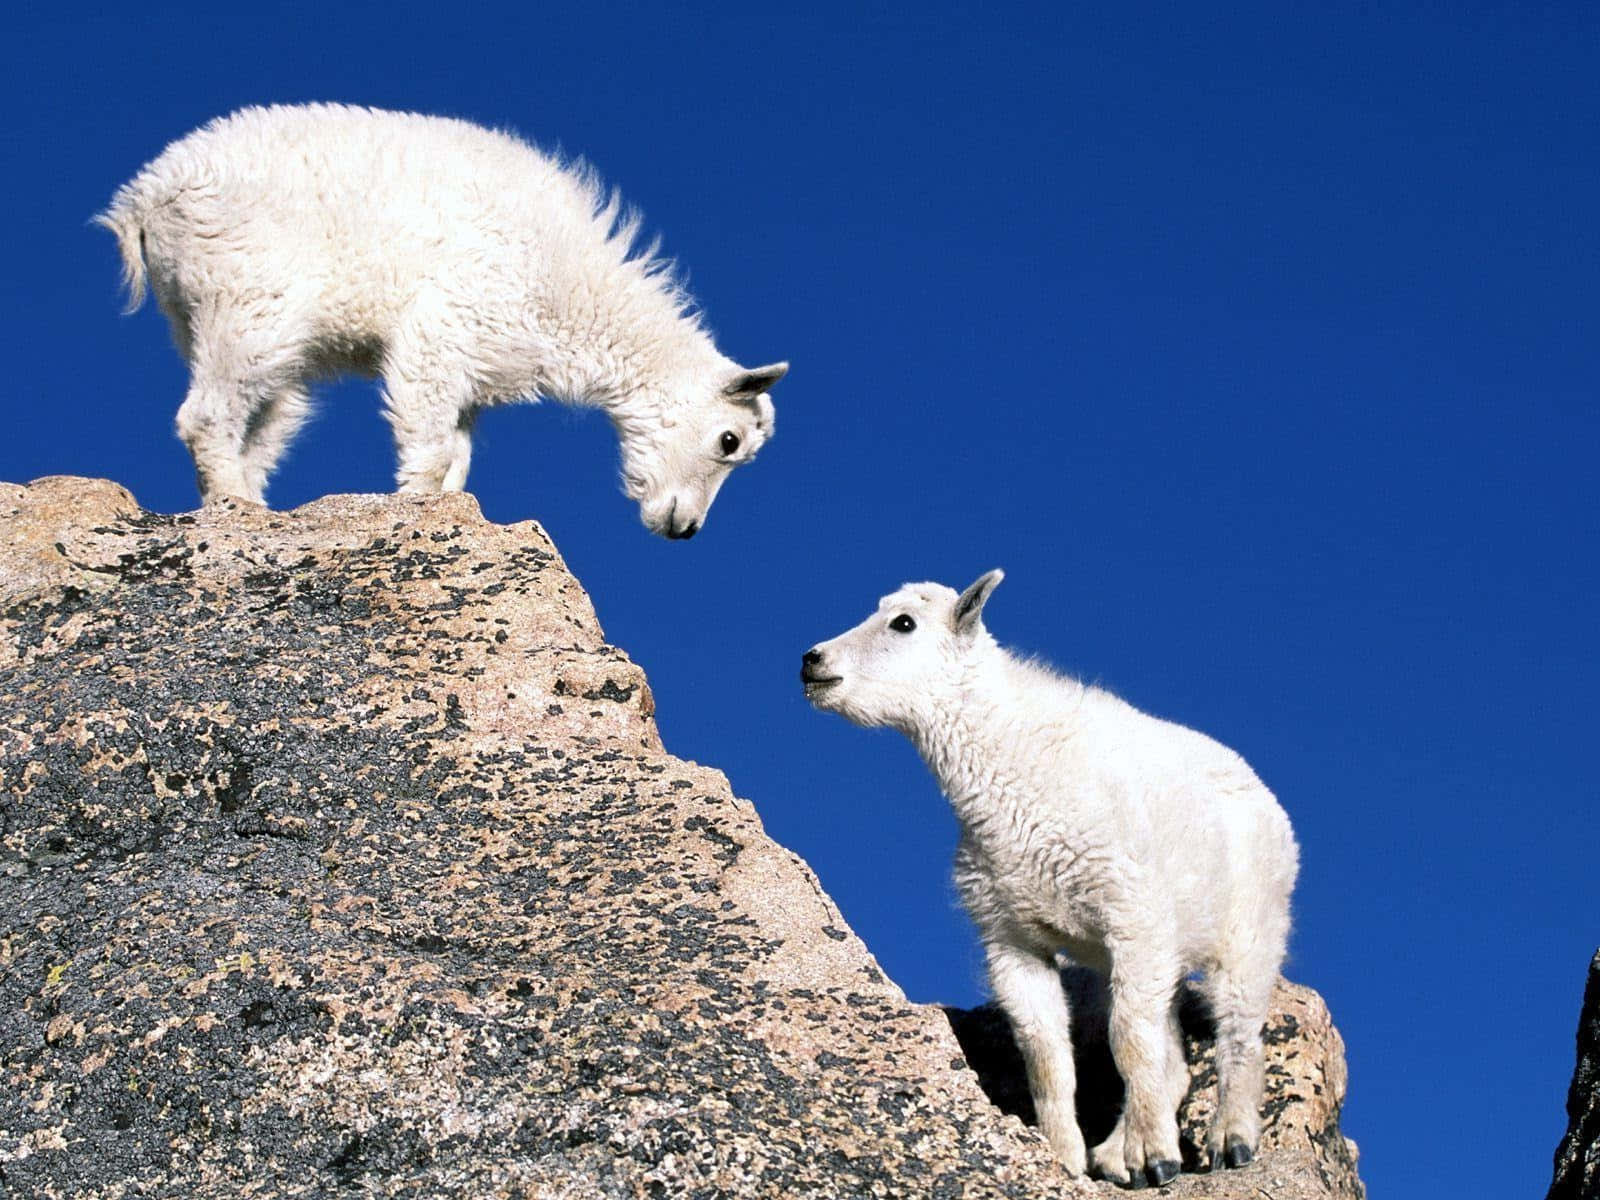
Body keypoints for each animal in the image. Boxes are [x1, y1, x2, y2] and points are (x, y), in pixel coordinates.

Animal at [95, 105, 787, 537]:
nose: (683, 526)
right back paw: (233, 503)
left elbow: (456, 456)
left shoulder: (474, 373)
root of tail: (144, 199)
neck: (568, 284)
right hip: (249, 305)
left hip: (222, 326)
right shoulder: (445, 327)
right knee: (207, 414)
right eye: (729, 441)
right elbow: (428, 447)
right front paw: (413, 507)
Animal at [800, 576, 1299, 1196]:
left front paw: (1159, 1157)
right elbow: (1047, 1054)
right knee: (1172, 1051)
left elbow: (1127, 1042)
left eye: (903, 623)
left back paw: (1230, 1139)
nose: (813, 662)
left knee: (1237, 1032)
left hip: (1252, 924)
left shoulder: (1130, 912)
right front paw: (1065, 1158)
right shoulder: (1012, 935)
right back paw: (1117, 1153)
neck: (1014, 771)